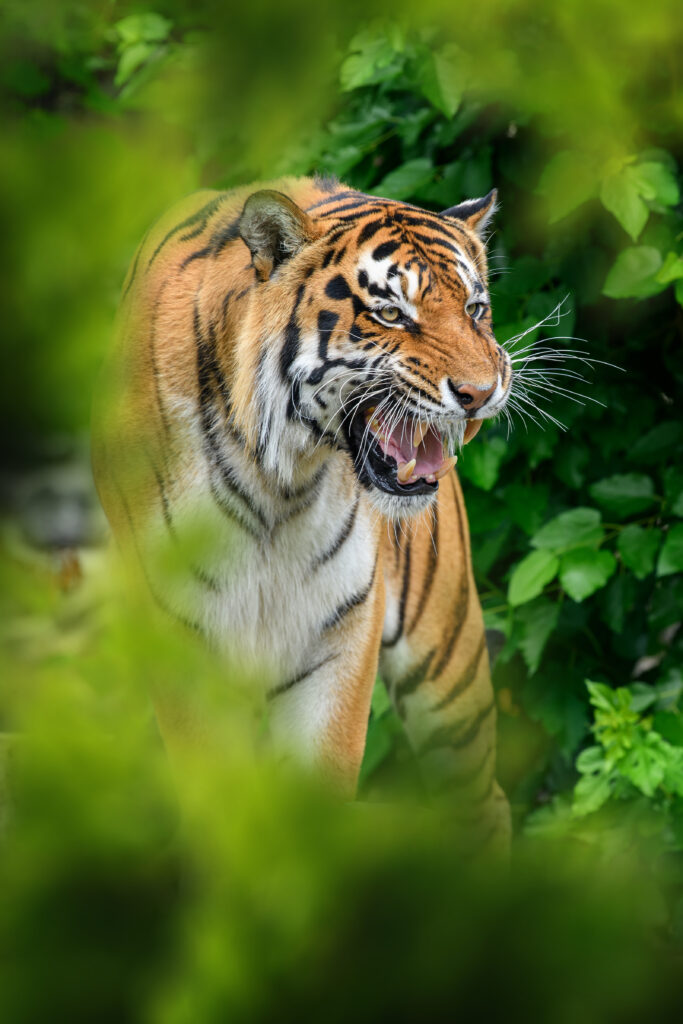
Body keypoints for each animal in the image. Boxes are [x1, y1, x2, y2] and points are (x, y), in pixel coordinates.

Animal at [91, 175, 513, 851]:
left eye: (475, 309)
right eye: (390, 313)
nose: (481, 392)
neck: (280, 482)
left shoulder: (340, 633)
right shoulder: (184, 641)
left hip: (447, 659)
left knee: (484, 804)